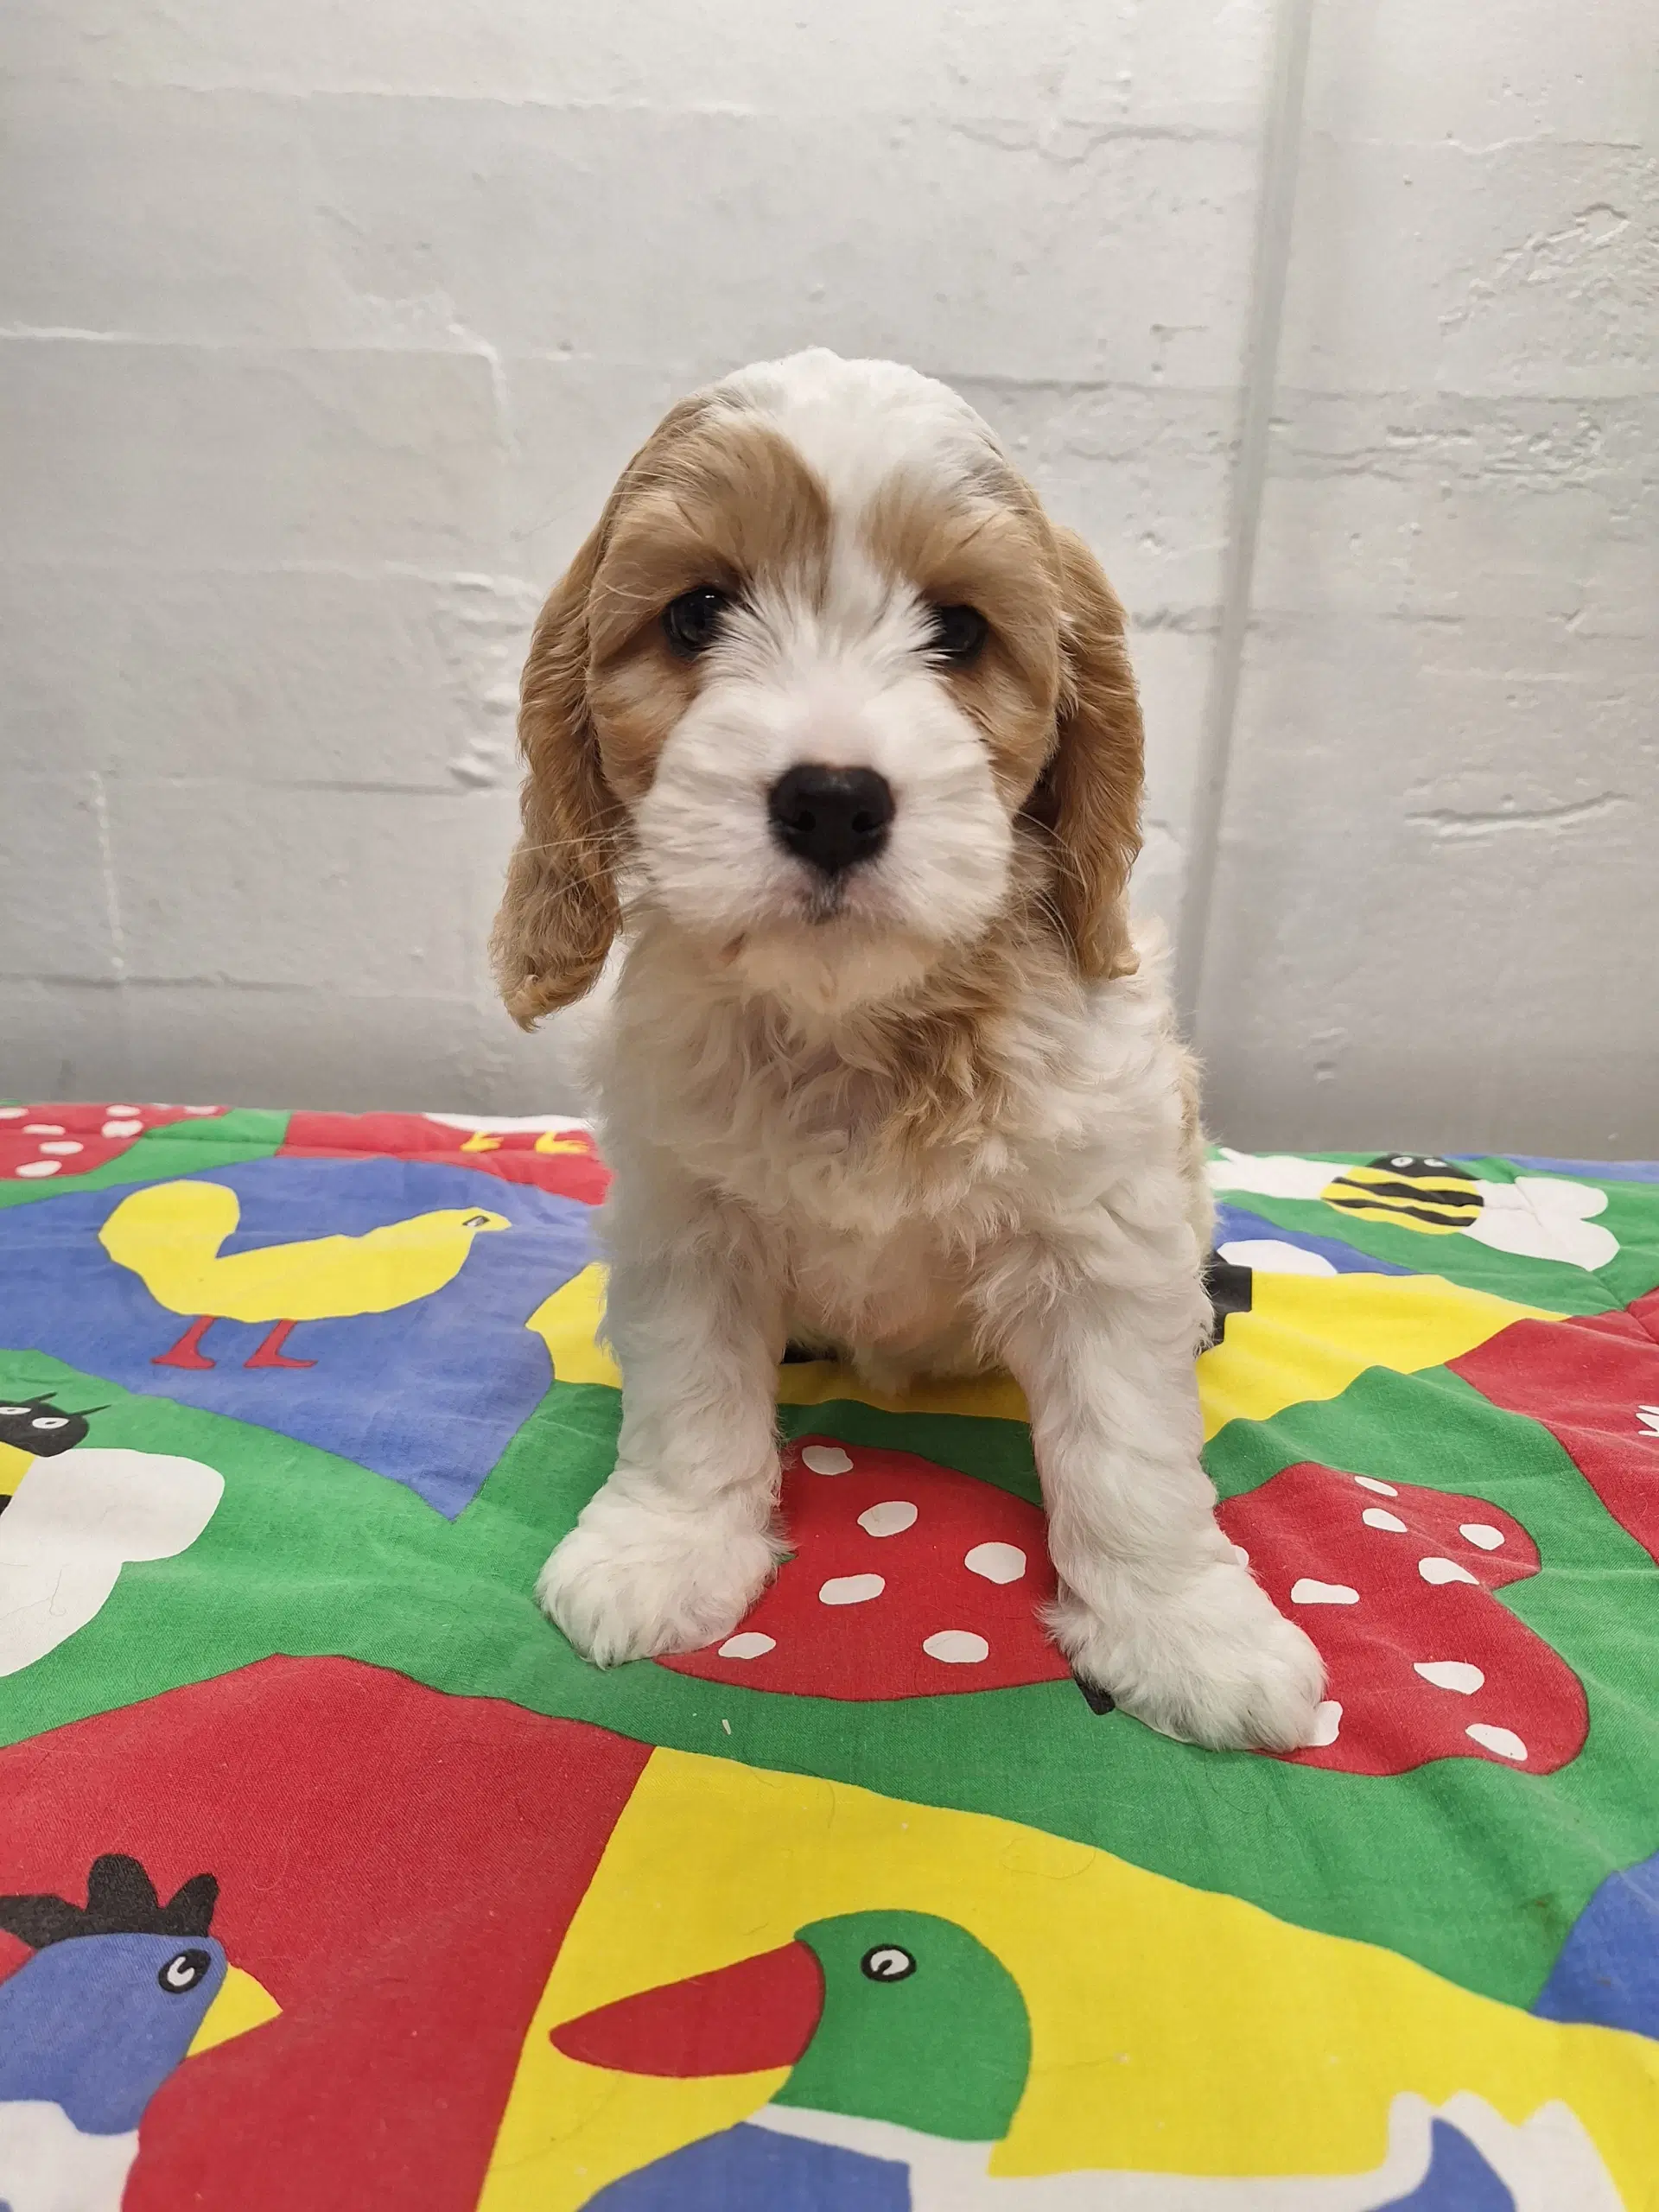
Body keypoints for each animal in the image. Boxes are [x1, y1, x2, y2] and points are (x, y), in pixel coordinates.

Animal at [493, 345, 1327, 1751]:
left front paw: (1186, 1630)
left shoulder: (1104, 1241)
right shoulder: (686, 1224)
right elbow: (690, 1404)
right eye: (696, 613)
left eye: (962, 632)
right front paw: (666, 1551)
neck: (859, 1029)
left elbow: (1128, 1452)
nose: (832, 800)